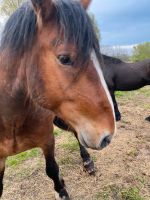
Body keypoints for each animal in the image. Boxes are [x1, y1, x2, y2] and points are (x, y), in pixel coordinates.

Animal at [0, 0, 116, 199]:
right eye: (64, 58)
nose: (107, 136)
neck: (11, 120)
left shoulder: (48, 140)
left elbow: (52, 169)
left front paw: (62, 191)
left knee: (76, 135)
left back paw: (87, 162)